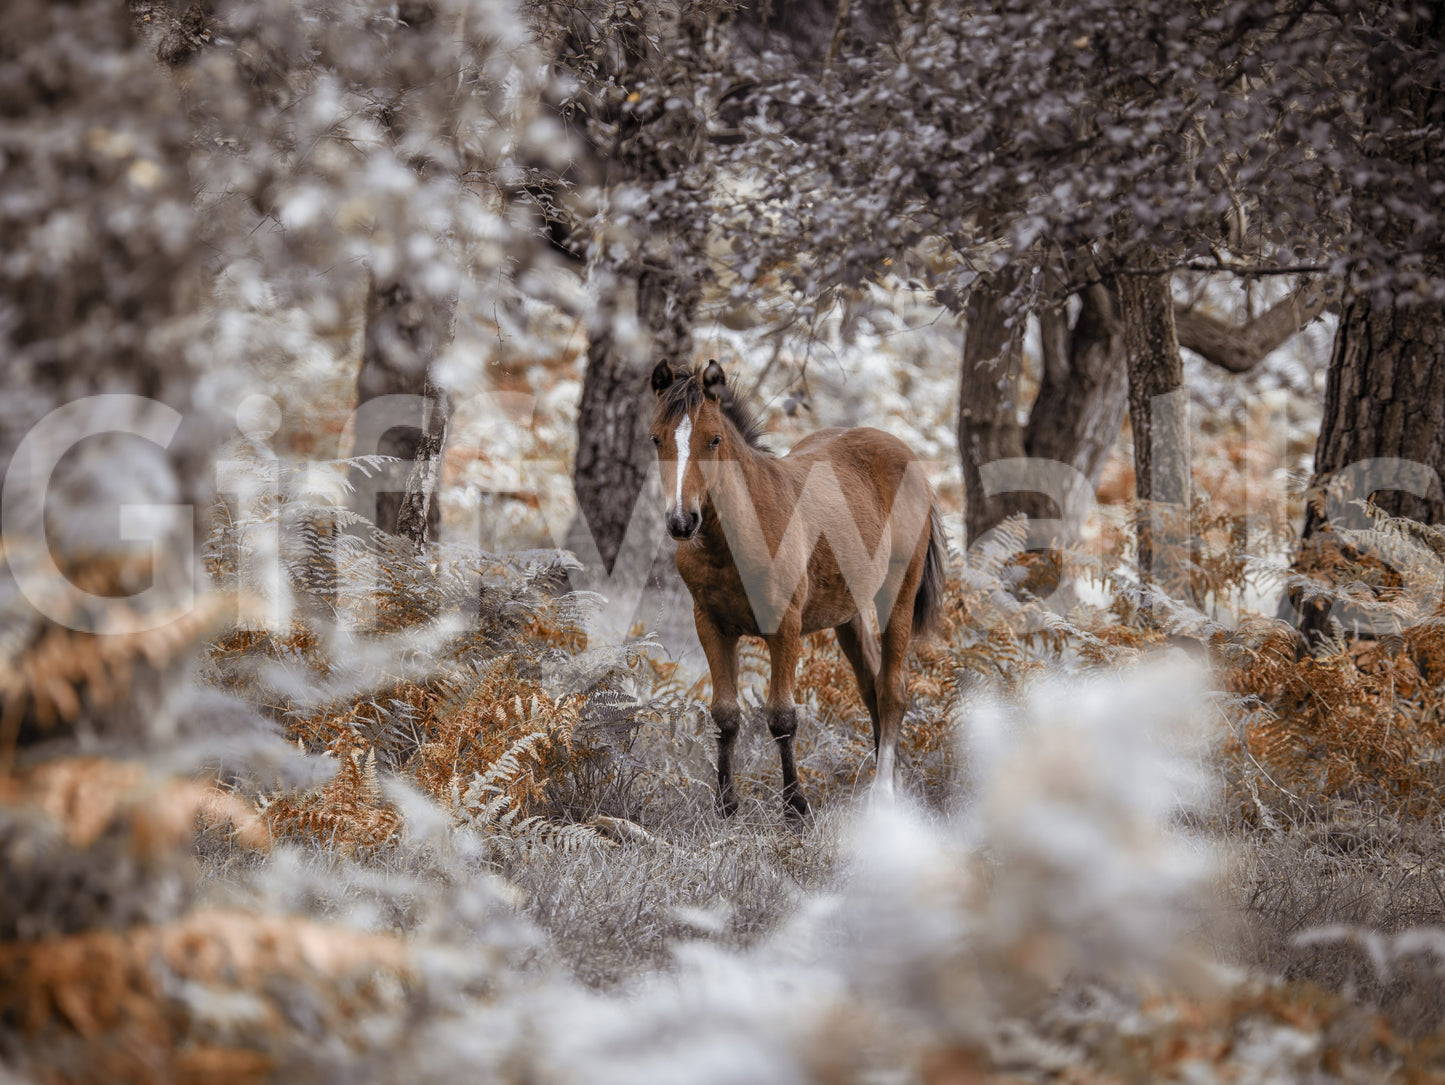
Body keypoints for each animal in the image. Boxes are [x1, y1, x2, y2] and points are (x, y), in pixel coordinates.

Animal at [649, 359, 946, 819]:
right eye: (656, 438)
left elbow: (782, 717)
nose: (683, 521)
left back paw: (883, 794)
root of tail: (907, 456)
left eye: (714, 439)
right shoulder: (711, 625)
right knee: (871, 686)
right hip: (848, 613)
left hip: (897, 595)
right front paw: (726, 805)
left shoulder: (785, 627)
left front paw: (795, 807)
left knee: (892, 690)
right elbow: (725, 715)